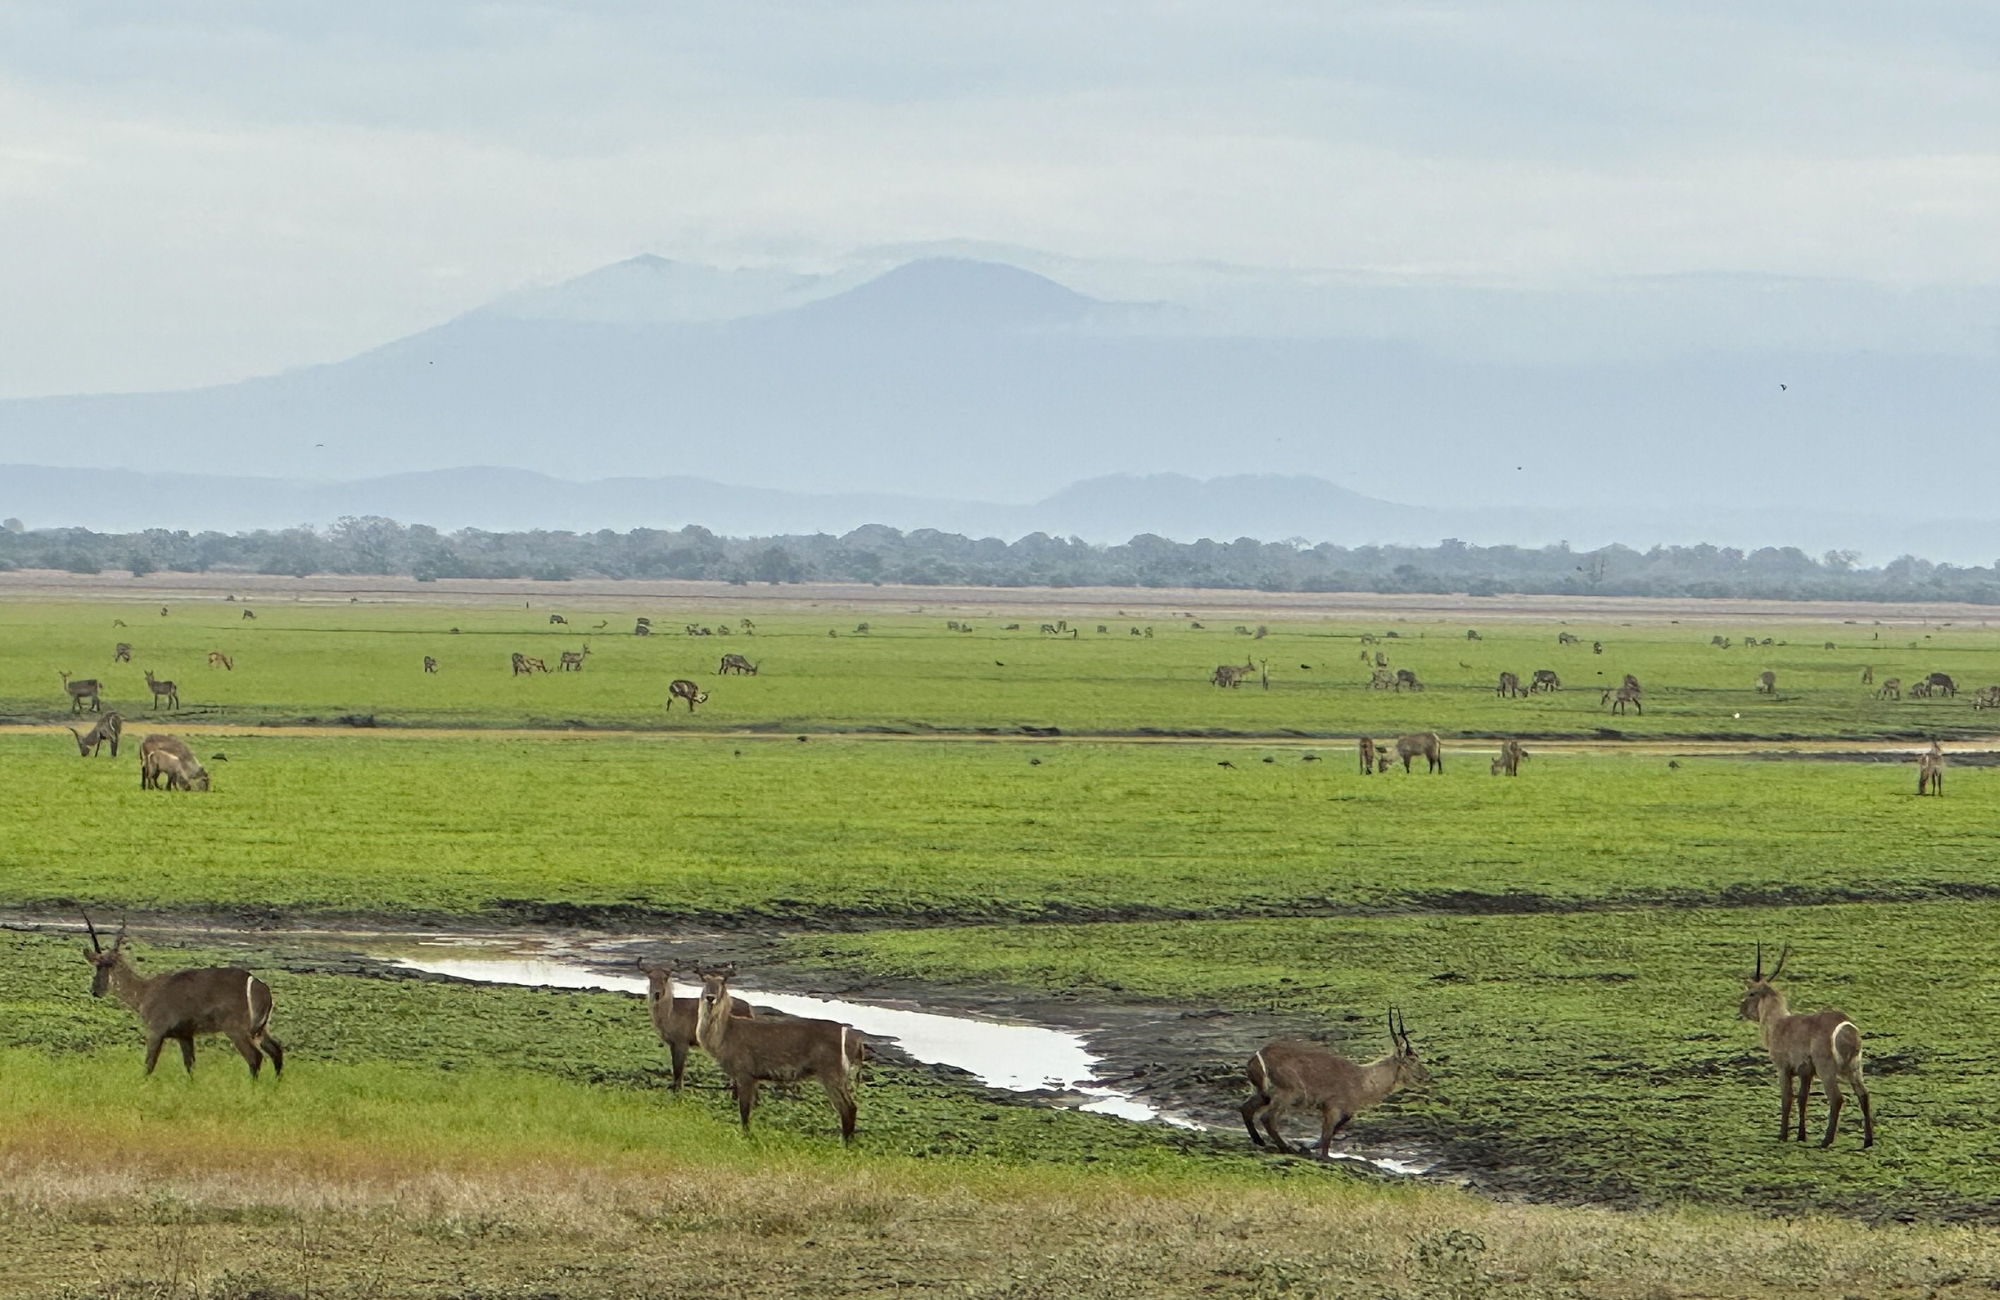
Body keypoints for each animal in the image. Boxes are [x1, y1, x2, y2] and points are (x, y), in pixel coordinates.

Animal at [81, 914, 284, 1079]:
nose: (94, 991)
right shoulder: (185, 1035)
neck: (145, 992)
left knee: (255, 1057)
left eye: (100, 965)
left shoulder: (155, 1031)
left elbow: (149, 1064)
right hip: (260, 1028)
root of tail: (257, 983)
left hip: (236, 1029)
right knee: (276, 1051)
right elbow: (190, 1065)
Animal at [635, 960, 754, 1092]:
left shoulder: (682, 1041)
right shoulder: (673, 1043)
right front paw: (672, 1086)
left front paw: (678, 1088)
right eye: (650, 977)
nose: (657, 994)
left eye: (665, 978)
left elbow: (679, 1067)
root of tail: (750, 1008)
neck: (670, 1013)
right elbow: (674, 1066)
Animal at [695, 966, 864, 1141]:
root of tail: (857, 1041)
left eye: (723, 981)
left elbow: (744, 1111)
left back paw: (844, 1143)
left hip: (832, 1072)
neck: (725, 1036)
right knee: (852, 1107)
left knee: (847, 1108)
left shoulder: (745, 1072)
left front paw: (745, 1136)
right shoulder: (753, 1077)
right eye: (705, 980)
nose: (710, 997)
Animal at [1241, 1010, 1429, 1157]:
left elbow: (1334, 1130)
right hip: (1288, 1093)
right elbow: (1327, 1137)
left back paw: (1260, 1142)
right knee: (1266, 1117)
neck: (1361, 1079)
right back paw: (1287, 1148)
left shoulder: (1342, 1110)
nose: (1427, 1075)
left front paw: (1310, 1146)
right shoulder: (1332, 1107)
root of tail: (1256, 1057)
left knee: (1245, 1108)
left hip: (1262, 1093)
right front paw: (1316, 1151)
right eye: (1413, 1059)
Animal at [1737, 944, 1872, 1149]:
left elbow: (1787, 1099)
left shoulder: (1783, 1068)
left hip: (1826, 1068)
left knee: (1836, 1098)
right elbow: (1803, 1099)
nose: (1741, 1010)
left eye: (1751, 993)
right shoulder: (1806, 1072)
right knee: (1864, 1095)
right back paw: (1868, 1141)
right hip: (1855, 1068)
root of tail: (1847, 1027)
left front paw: (1782, 1136)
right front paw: (1801, 1136)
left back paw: (1826, 1140)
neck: (1778, 1023)